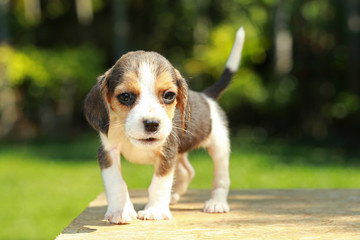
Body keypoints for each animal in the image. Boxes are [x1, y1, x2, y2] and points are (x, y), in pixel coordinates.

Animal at [83, 27, 245, 224]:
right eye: (125, 96)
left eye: (169, 95)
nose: (152, 124)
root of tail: (206, 96)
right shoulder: (107, 152)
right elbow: (116, 182)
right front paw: (120, 211)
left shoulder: (166, 155)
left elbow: (159, 184)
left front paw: (155, 210)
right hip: (180, 153)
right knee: (187, 171)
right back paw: (174, 196)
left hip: (219, 147)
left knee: (221, 179)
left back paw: (216, 203)